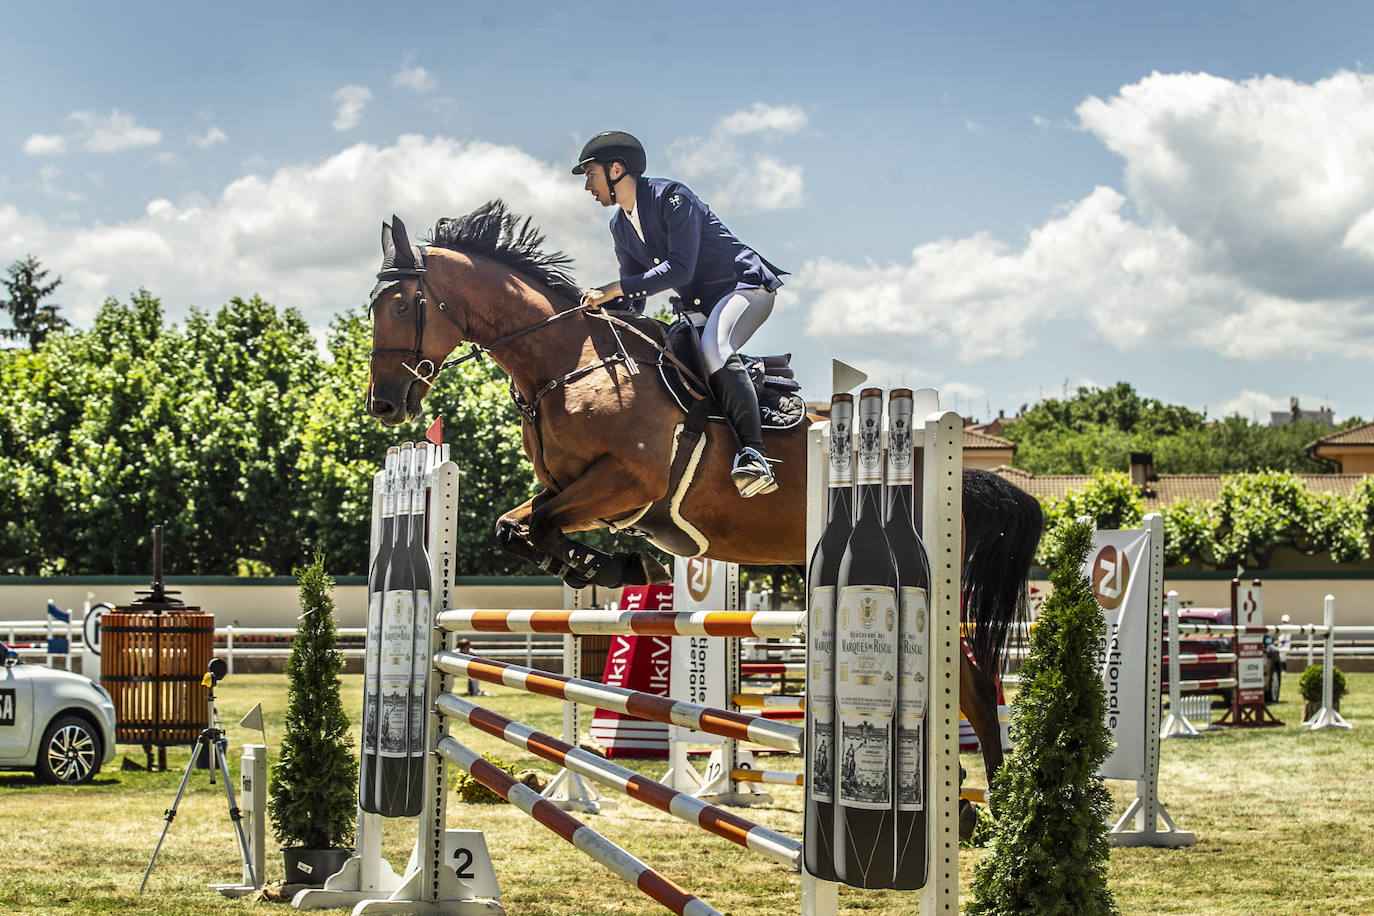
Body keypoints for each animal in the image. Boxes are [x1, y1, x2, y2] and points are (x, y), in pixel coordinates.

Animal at [365, 199, 1038, 780]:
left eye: (401, 304)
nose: (386, 405)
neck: (568, 364)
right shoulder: (575, 492)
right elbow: (519, 529)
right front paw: (612, 567)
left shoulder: (624, 483)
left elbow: (541, 527)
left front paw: (620, 566)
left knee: (972, 686)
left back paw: (992, 807)